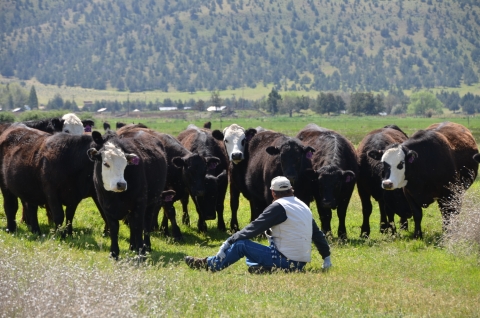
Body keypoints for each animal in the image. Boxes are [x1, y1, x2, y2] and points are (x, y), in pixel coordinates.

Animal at [88, 130, 169, 258]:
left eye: (125, 164)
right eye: (106, 163)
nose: (121, 184)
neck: (115, 196)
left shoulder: (140, 204)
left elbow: (139, 226)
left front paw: (141, 253)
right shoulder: (106, 206)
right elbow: (114, 228)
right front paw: (114, 253)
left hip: (152, 202)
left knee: (146, 223)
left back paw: (146, 246)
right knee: (132, 223)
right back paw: (132, 246)